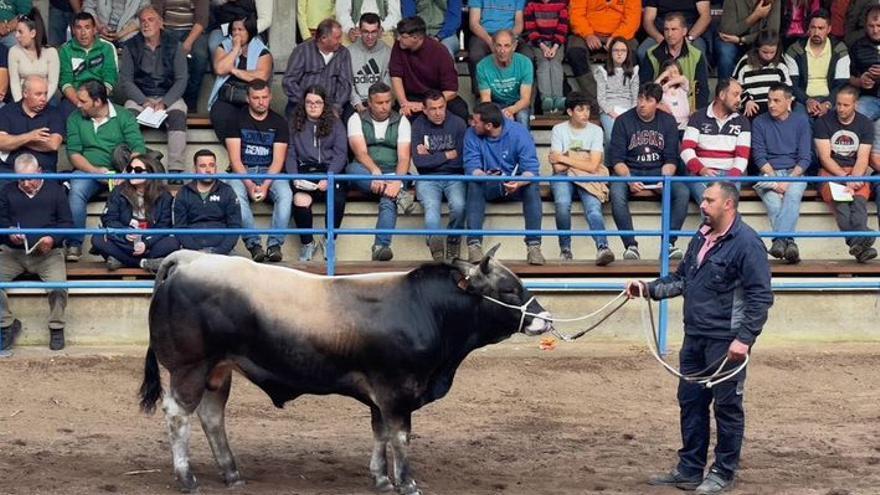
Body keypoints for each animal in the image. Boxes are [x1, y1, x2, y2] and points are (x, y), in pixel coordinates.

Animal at [138, 248, 552, 495]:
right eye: (508, 289)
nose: (545, 319)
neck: (423, 307)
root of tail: (187, 258)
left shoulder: (381, 395)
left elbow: (380, 434)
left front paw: (381, 478)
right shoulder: (397, 390)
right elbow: (400, 437)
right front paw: (406, 482)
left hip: (218, 370)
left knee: (211, 417)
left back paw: (232, 473)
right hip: (190, 368)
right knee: (178, 416)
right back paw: (187, 478)